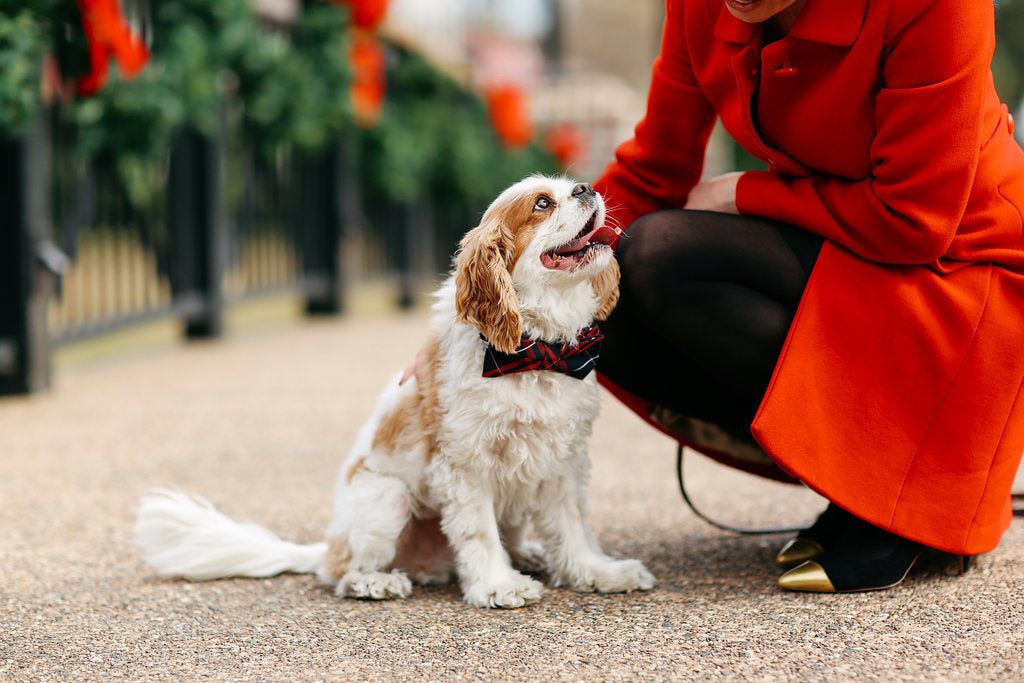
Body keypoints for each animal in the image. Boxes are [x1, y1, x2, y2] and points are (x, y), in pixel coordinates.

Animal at [134, 176, 655, 610]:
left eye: (570, 186)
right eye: (543, 204)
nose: (586, 187)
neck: (536, 349)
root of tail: (328, 546)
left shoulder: (565, 461)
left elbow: (573, 528)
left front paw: (598, 572)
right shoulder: (465, 466)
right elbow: (479, 533)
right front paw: (497, 586)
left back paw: (526, 554)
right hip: (388, 498)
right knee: (342, 574)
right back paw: (375, 582)